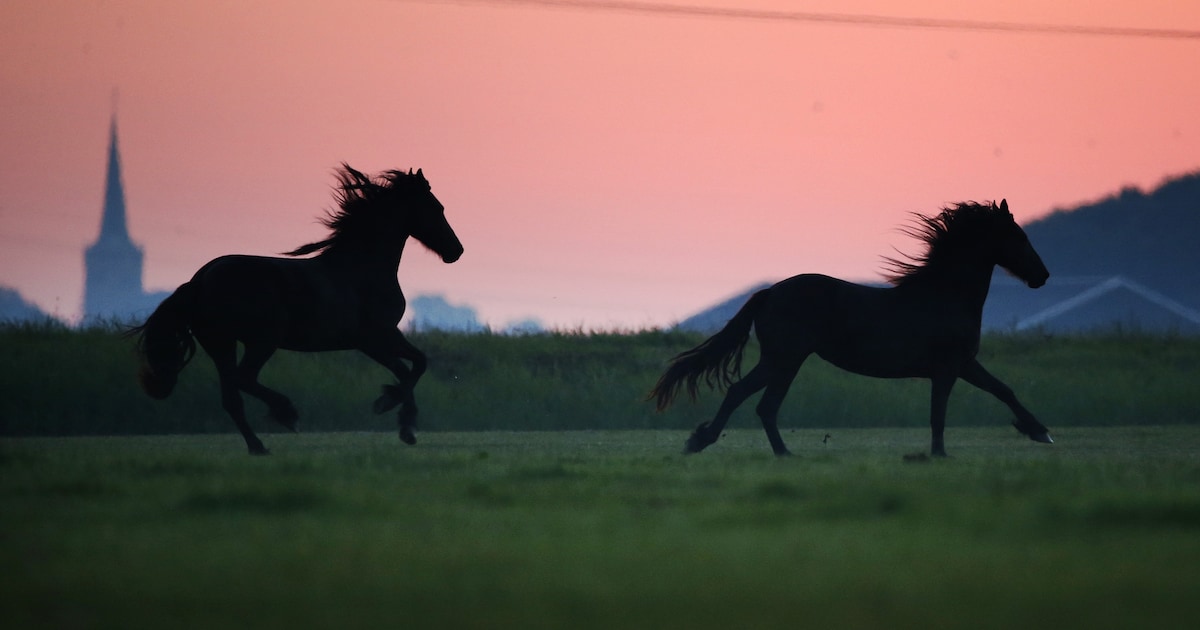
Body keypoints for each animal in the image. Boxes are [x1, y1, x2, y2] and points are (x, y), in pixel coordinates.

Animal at [129, 164, 464, 454]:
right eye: (437, 208)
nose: (456, 251)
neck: (361, 269)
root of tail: (199, 280)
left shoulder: (373, 340)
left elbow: (410, 366)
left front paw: (395, 413)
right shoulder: (376, 336)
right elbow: (415, 365)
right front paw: (398, 417)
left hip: (221, 344)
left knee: (232, 396)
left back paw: (258, 446)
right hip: (261, 341)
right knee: (244, 379)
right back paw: (287, 414)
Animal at [650, 199, 1052, 457]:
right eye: (1018, 236)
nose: (1043, 276)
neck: (944, 295)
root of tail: (770, 293)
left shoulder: (964, 364)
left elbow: (1003, 390)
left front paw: (1038, 431)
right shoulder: (949, 368)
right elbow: (939, 412)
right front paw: (940, 455)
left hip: (784, 360)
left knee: (756, 401)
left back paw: (760, 450)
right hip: (785, 358)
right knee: (751, 398)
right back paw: (731, 446)